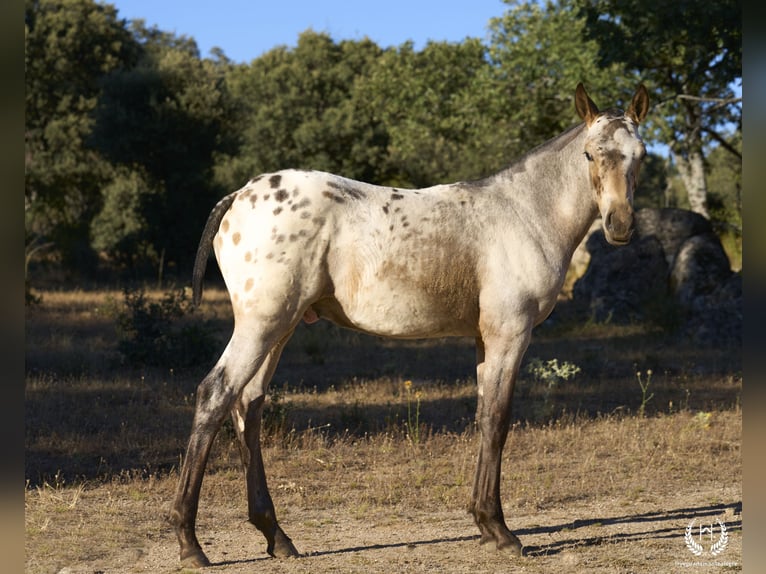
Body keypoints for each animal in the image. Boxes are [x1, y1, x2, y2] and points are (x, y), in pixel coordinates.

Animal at [168, 83, 648, 568]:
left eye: (641, 155)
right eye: (589, 154)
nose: (620, 225)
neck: (525, 212)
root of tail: (239, 195)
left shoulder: (485, 340)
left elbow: (483, 417)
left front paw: (484, 524)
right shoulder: (509, 334)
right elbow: (498, 421)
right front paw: (500, 530)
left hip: (280, 329)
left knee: (248, 404)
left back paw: (276, 536)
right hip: (262, 325)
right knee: (215, 394)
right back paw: (190, 542)